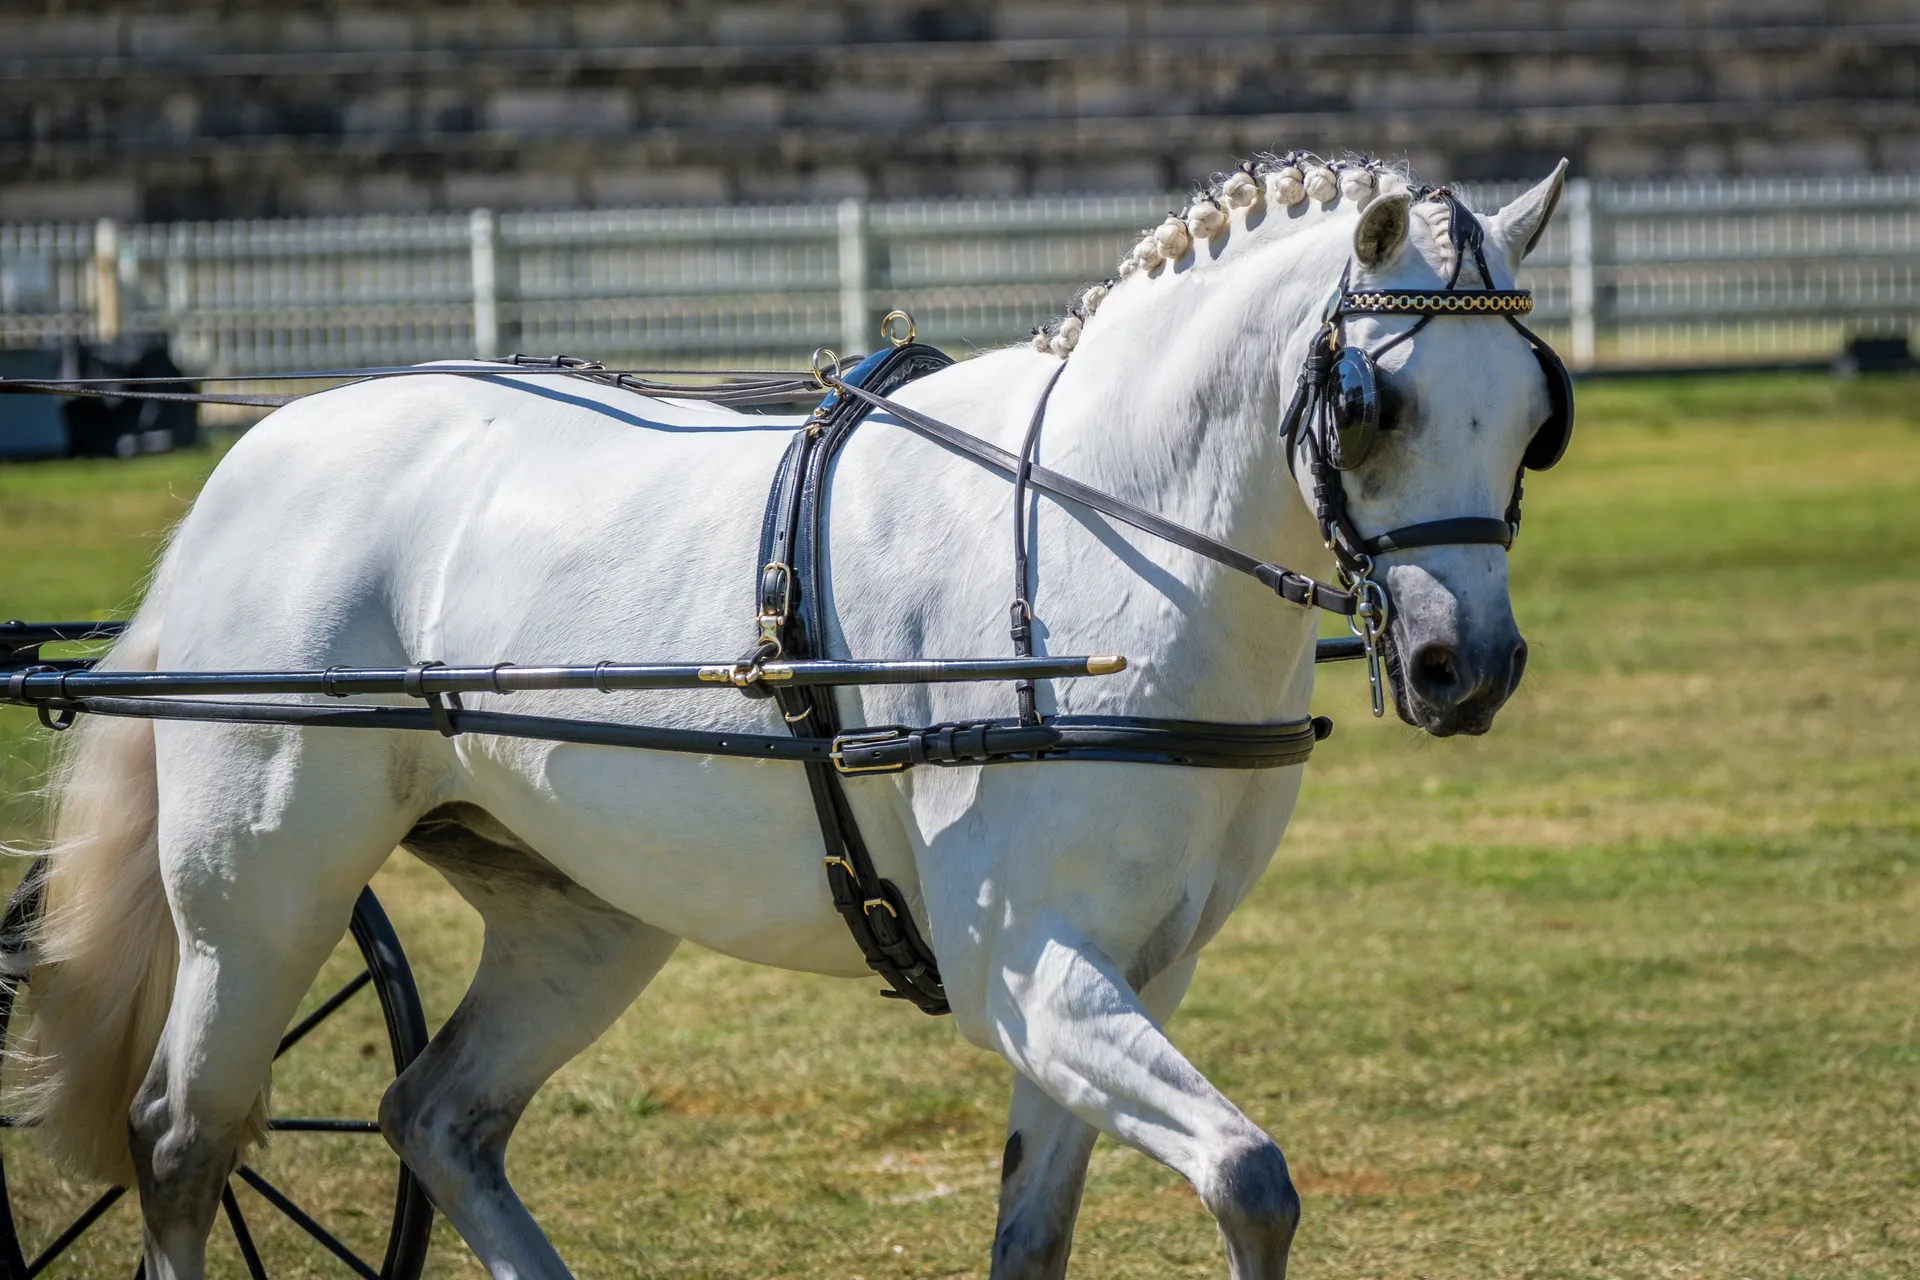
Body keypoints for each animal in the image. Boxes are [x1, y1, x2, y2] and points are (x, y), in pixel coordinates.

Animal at [12, 155, 1567, 1279]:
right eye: (1374, 404)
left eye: (1530, 417)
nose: (1467, 664)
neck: (1096, 540)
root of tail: (254, 462)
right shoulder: (1028, 969)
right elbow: (1251, 1177)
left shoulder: (1136, 970)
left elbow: (1046, 1232)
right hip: (260, 898)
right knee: (180, 1145)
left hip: (581, 916)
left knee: (438, 1119)